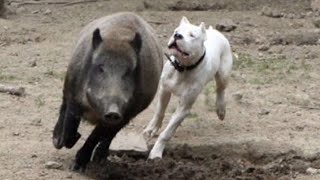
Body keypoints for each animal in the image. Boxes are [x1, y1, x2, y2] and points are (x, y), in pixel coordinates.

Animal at [144, 16, 232, 158]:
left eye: (192, 35)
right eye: (176, 31)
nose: (177, 36)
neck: (182, 67)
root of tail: (214, 31)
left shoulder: (184, 108)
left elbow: (167, 132)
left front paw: (156, 152)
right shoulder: (164, 90)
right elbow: (159, 112)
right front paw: (152, 128)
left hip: (223, 74)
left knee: (220, 89)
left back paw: (220, 109)